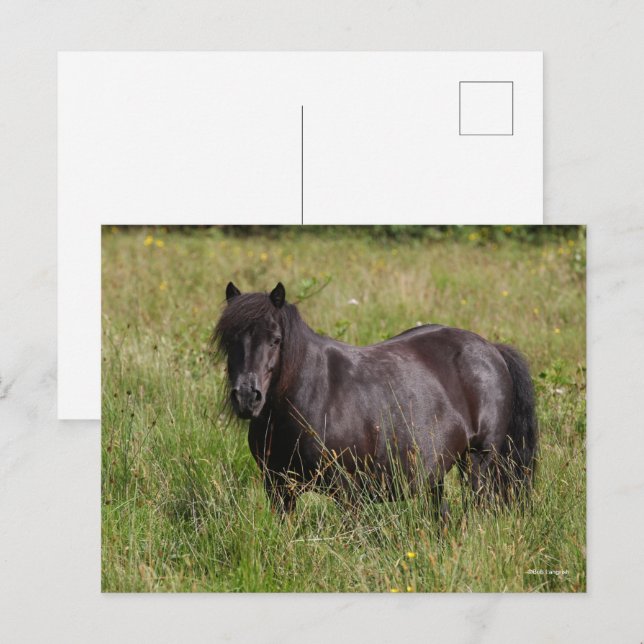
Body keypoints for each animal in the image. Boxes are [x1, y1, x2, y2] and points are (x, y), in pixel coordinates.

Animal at [213, 281, 537, 519]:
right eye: (229, 340)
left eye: (276, 340)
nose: (247, 397)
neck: (310, 397)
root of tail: (491, 349)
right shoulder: (279, 488)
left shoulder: (346, 491)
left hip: (479, 460)